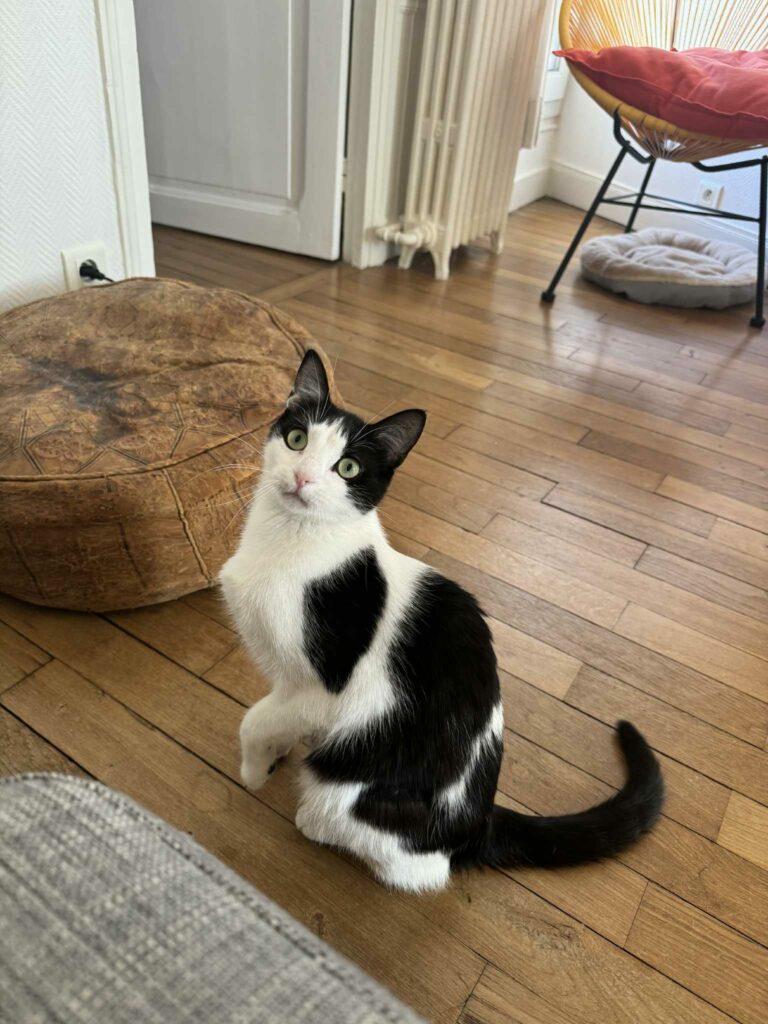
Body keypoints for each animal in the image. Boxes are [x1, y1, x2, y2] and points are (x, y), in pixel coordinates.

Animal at [220, 350, 664, 893]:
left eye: (347, 467)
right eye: (296, 439)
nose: (303, 478)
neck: (290, 543)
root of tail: (478, 822)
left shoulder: (324, 689)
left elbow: (254, 718)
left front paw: (253, 768)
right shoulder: (289, 685)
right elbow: (272, 711)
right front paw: (273, 753)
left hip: (353, 793)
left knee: (409, 863)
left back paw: (314, 822)